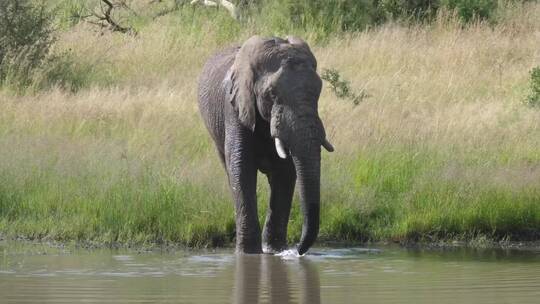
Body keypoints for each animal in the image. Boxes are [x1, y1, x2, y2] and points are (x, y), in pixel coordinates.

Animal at [198, 35, 334, 254]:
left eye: (319, 91)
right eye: (271, 93)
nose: (298, 250)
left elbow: (285, 173)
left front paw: (274, 251)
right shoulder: (235, 108)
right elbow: (241, 169)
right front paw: (249, 254)